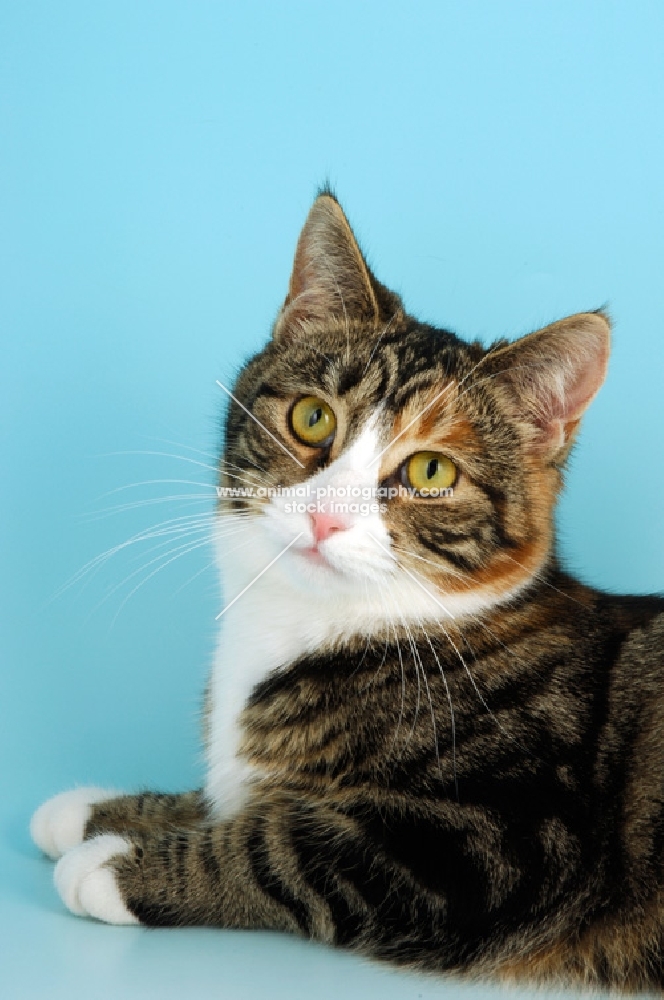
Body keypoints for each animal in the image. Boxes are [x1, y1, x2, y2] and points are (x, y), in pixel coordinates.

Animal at [29, 191, 664, 988]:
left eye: (431, 472)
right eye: (312, 417)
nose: (326, 514)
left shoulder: (510, 839)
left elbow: (281, 843)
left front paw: (121, 864)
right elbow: (231, 799)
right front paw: (104, 810)